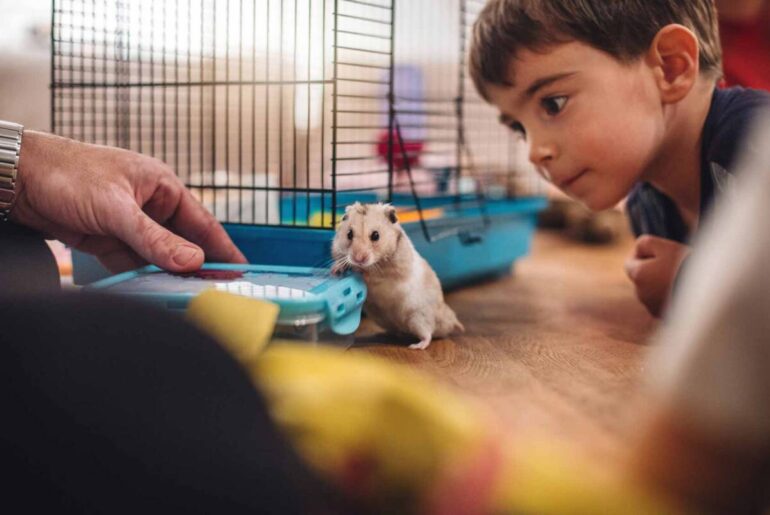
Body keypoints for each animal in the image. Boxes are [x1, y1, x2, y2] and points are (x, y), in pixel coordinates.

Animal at [330, 202, 462, 350]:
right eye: (349, 234)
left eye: (375, 235)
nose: (358, 259)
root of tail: (449, 320)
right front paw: (335, 269)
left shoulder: (392, 272)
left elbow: (374, 275)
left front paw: (359, 270)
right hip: (386, 320)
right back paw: (384, 335)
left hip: (419, 318)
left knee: (428, 334)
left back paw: (416, 346)